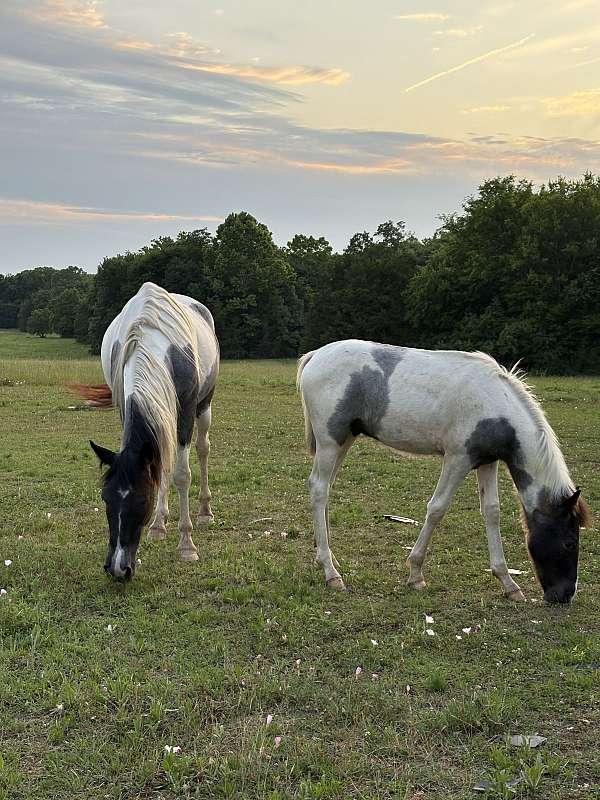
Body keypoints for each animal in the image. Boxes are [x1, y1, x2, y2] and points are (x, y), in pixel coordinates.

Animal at [75, 282, 219, 581]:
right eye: (105, 499)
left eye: (142, 501)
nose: (118, 569)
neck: (149, 342)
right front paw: (159, 524)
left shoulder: (186, 411)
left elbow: (182, 474)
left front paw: (187, 546)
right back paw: (159, 525)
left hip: (204, 406)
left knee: (203, 449)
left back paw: (204, 511)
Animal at [297, 339, 591, 604]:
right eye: (570, 543)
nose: (566, 595)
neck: (495, 404)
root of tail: (316, 355)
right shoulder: (457, 460)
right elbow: (437, 508)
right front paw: (416, 573)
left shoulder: (487, 462)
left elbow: (492, 512)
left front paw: (508, 583)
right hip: (330, 442)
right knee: (319, 488)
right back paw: (330, 572)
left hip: (345, 440)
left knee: (327, 488)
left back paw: (328, 557)